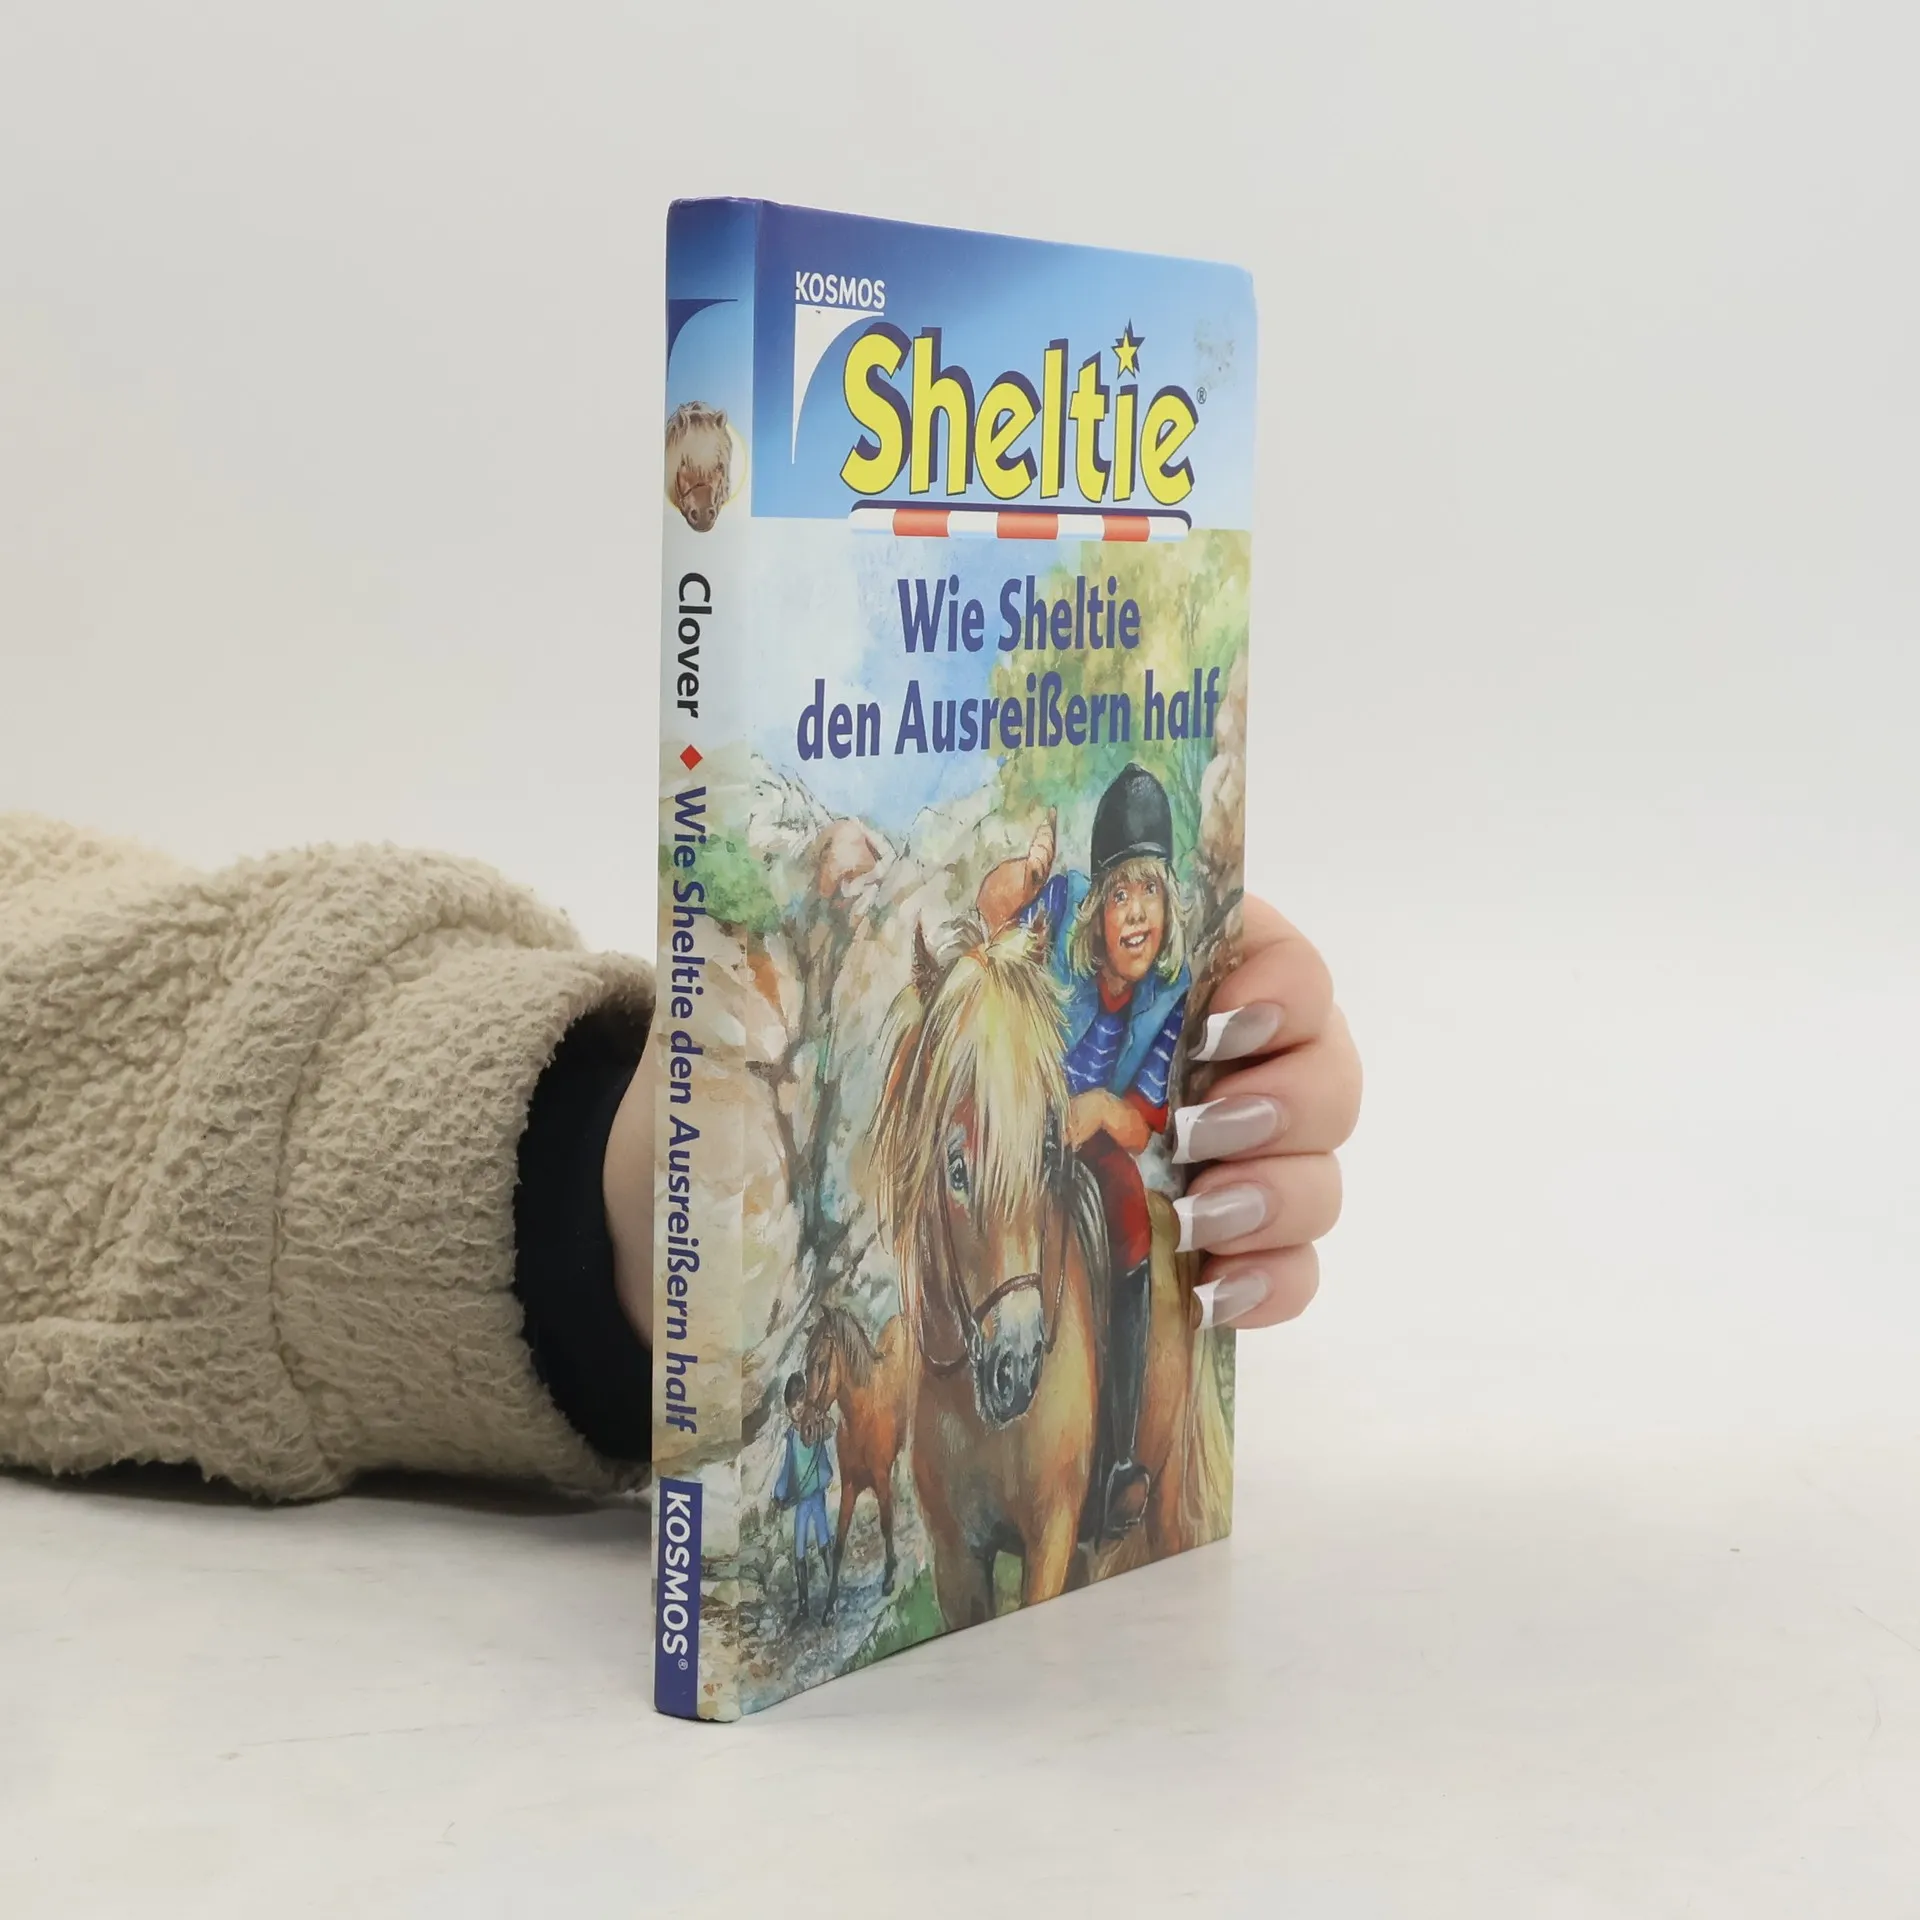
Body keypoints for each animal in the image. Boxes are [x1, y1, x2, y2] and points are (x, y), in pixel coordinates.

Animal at [801, 1303, 913, 1618]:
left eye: (822, 1364)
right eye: (805, 1369)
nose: (807, 1429)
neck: (863, 1417)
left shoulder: (879, 1478)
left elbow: (886, 1523)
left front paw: (889, 1576)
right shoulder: (850, 1486)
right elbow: (838, 1543)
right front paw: (830, 1604)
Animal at [865, 913, 1234, 1630]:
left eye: (1046, 1153)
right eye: (955, 1168)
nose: (1016, 1365)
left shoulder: (1052, 1540)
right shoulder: (957, 1562)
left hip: (1165, 1491)